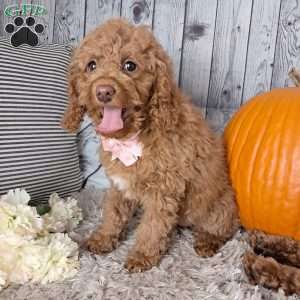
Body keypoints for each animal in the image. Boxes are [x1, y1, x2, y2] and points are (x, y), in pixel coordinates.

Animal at [62, 18, 238, 272]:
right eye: (91, 66)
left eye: (130, 66)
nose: (104, 91)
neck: (131, 138)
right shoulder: (119, 185)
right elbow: (113, 213)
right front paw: (104, 239)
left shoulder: (163, 191)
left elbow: (152, 227)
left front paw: (142, 255)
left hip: (218, 207)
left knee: (221, 229)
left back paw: (207, 242)